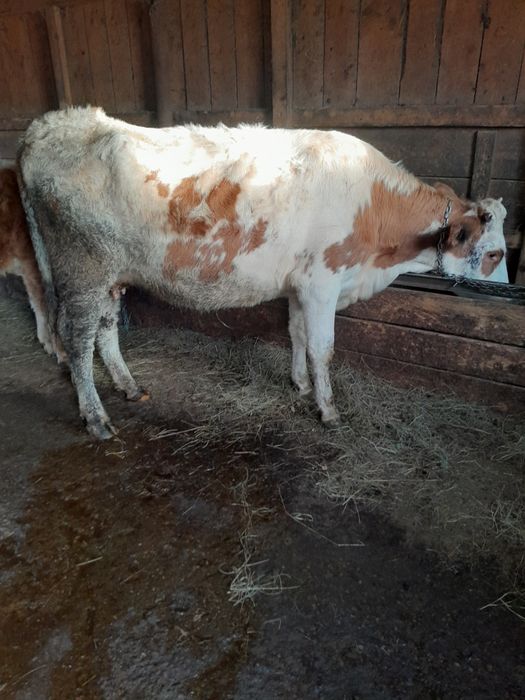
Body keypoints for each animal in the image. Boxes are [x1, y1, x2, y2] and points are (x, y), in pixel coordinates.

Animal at [17, 107, 507, 439]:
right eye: (495, 254)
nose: (506, 293)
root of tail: (53, 123)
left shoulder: (300, 285)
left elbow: (297, 335)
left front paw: (301, 385)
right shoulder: (323, 282)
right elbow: (323, 348)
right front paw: (328, 409)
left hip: (109, 275)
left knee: (104, 330)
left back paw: (128, 385)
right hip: (82, 271)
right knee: (78, 340)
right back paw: (96, 417)